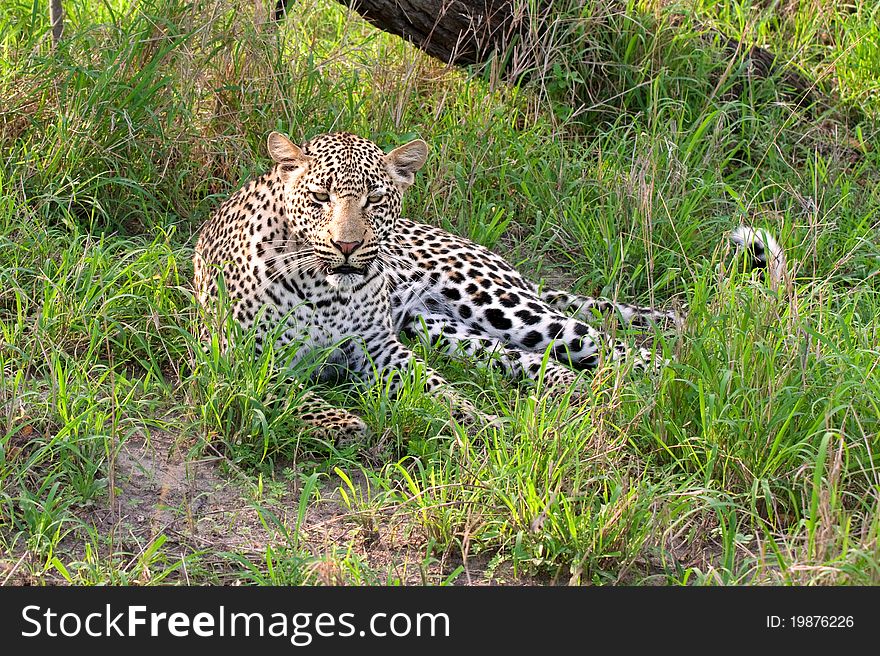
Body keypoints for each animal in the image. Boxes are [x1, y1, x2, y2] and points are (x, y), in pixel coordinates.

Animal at [192, 131, 776, 444]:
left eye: (375, 200)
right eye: (319, 198)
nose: (348, 246)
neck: (323, 289)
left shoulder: (378, 349)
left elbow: (438, 390)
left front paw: (482, 422)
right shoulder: (233, 358)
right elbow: (283, 390)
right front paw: (340, 420)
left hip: (501, 304)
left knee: (612, 345)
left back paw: (682, 387)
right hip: (439, 328)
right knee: (531, 361)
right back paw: (576, 393)